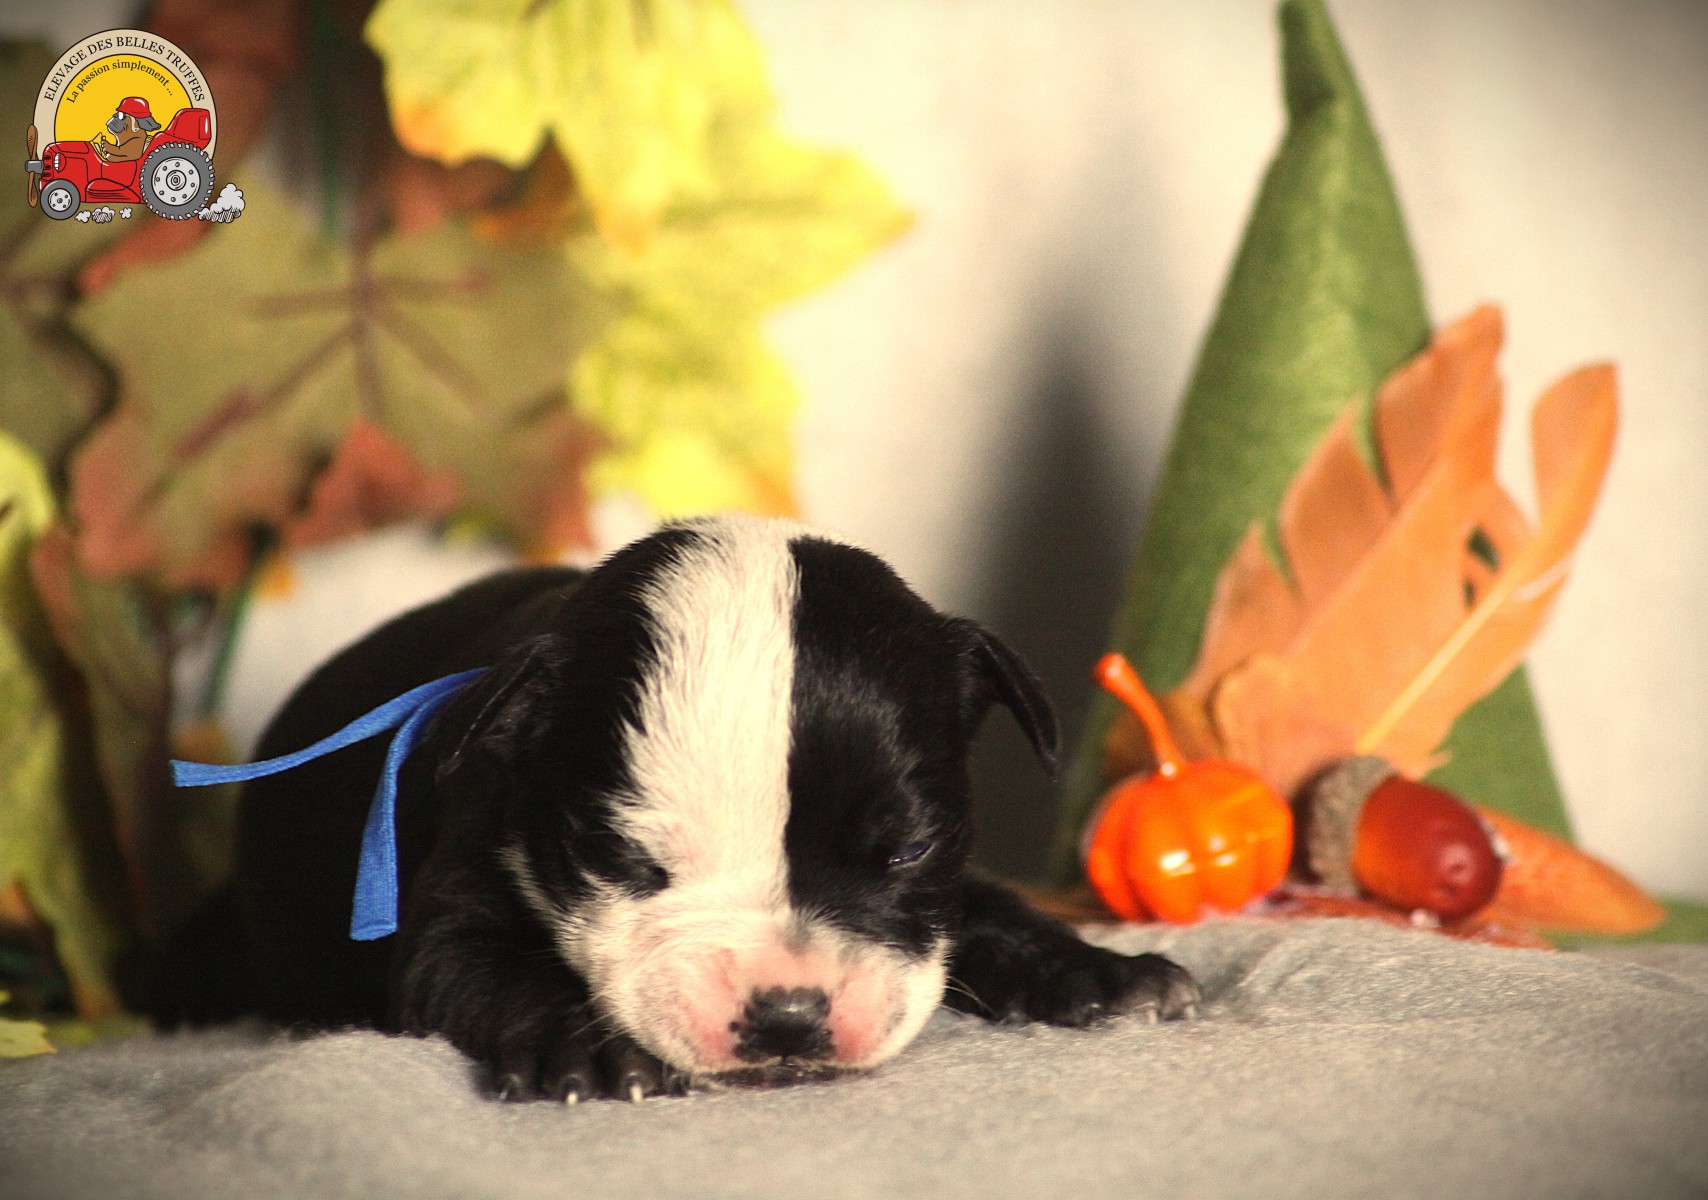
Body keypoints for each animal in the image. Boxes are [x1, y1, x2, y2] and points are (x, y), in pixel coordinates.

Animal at [196, 515, 1197, 1101]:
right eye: (626, 860)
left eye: (910, 852)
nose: (788, 1014)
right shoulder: (453, 916)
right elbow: (503, 973)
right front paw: (592, 1051)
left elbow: (990, 907)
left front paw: (1098, 972)